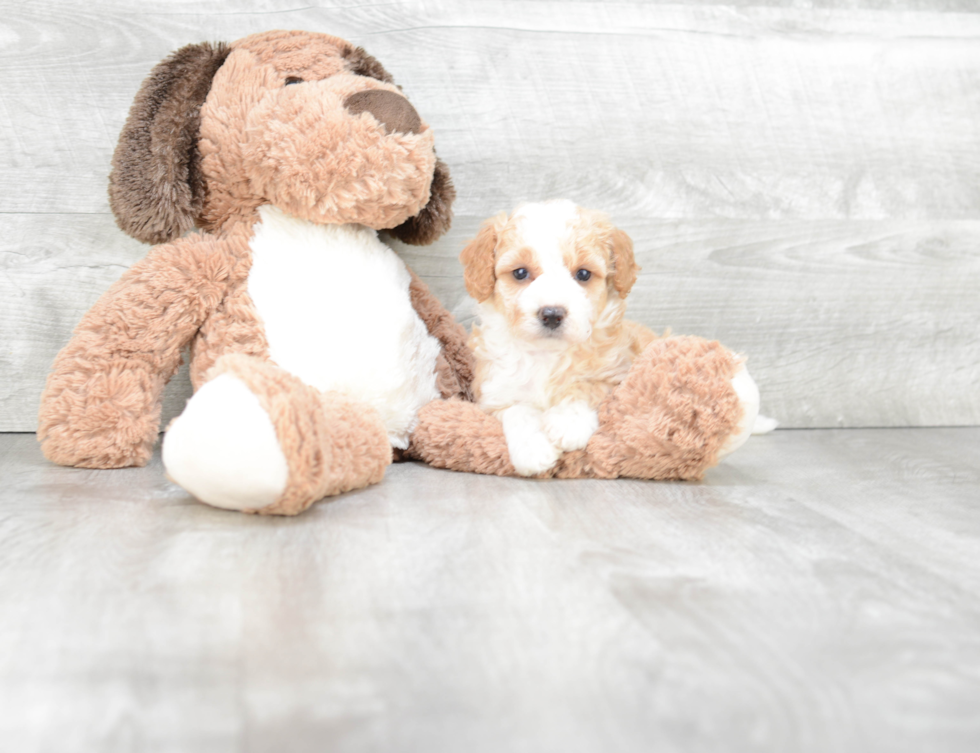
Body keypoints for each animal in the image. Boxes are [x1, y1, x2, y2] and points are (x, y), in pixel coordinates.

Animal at [460, 197, 660, 472]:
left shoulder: (617, 376)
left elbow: (587, 386)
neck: (546, 353)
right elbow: (516, 409)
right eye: (520, 273)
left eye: (583, 274)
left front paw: (569, 421)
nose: (552, 314)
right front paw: (533, 449)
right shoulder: (492, 393)